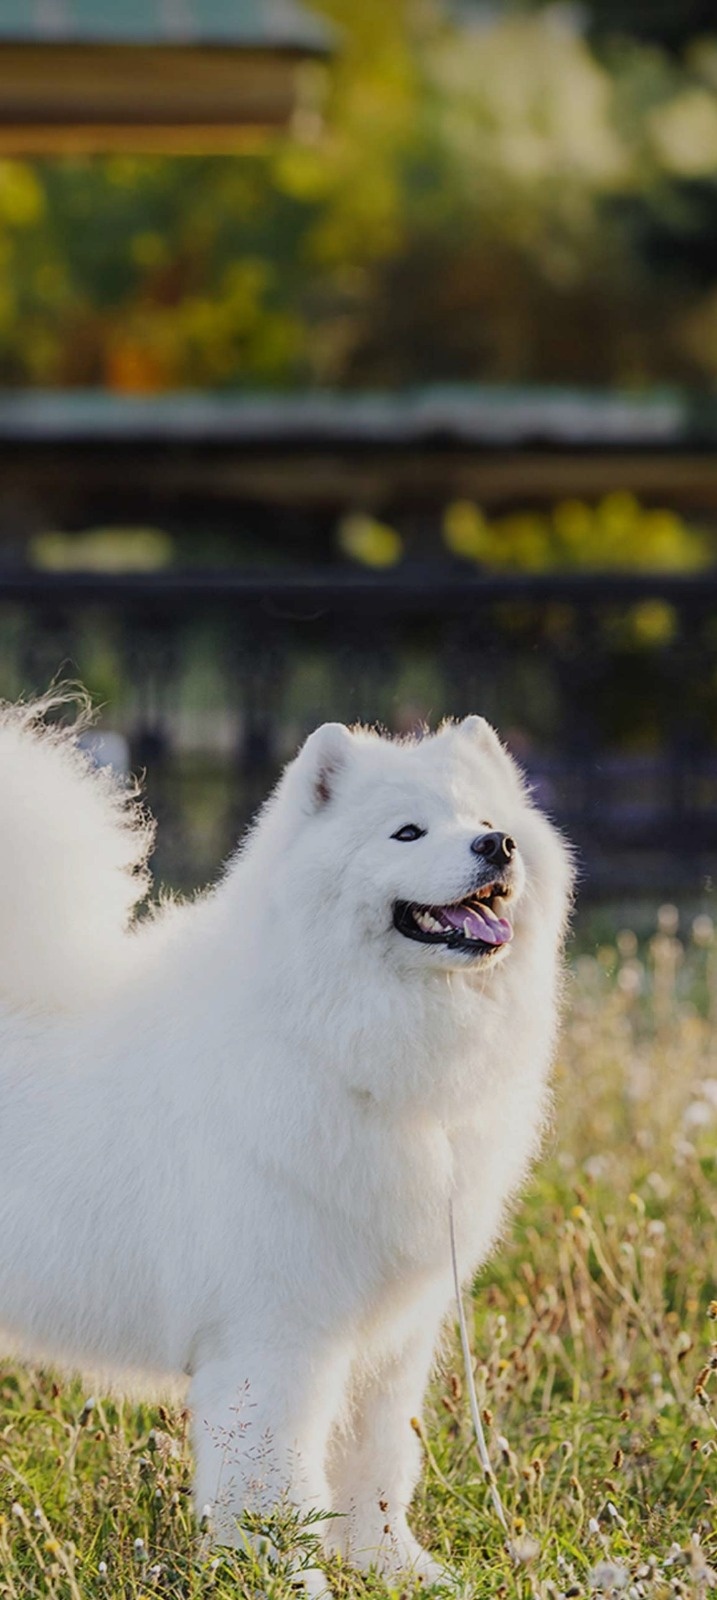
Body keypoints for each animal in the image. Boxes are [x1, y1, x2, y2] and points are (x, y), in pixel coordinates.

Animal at [0, 700, 572, 1587]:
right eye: (407, 832)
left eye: (484, 819)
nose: (496, 846)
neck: (338, 1035)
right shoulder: (275, 1334)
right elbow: (271, 1482)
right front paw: (282, 1579)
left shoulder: (391, 1335)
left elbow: (377, 1463)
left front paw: (394, 1570)